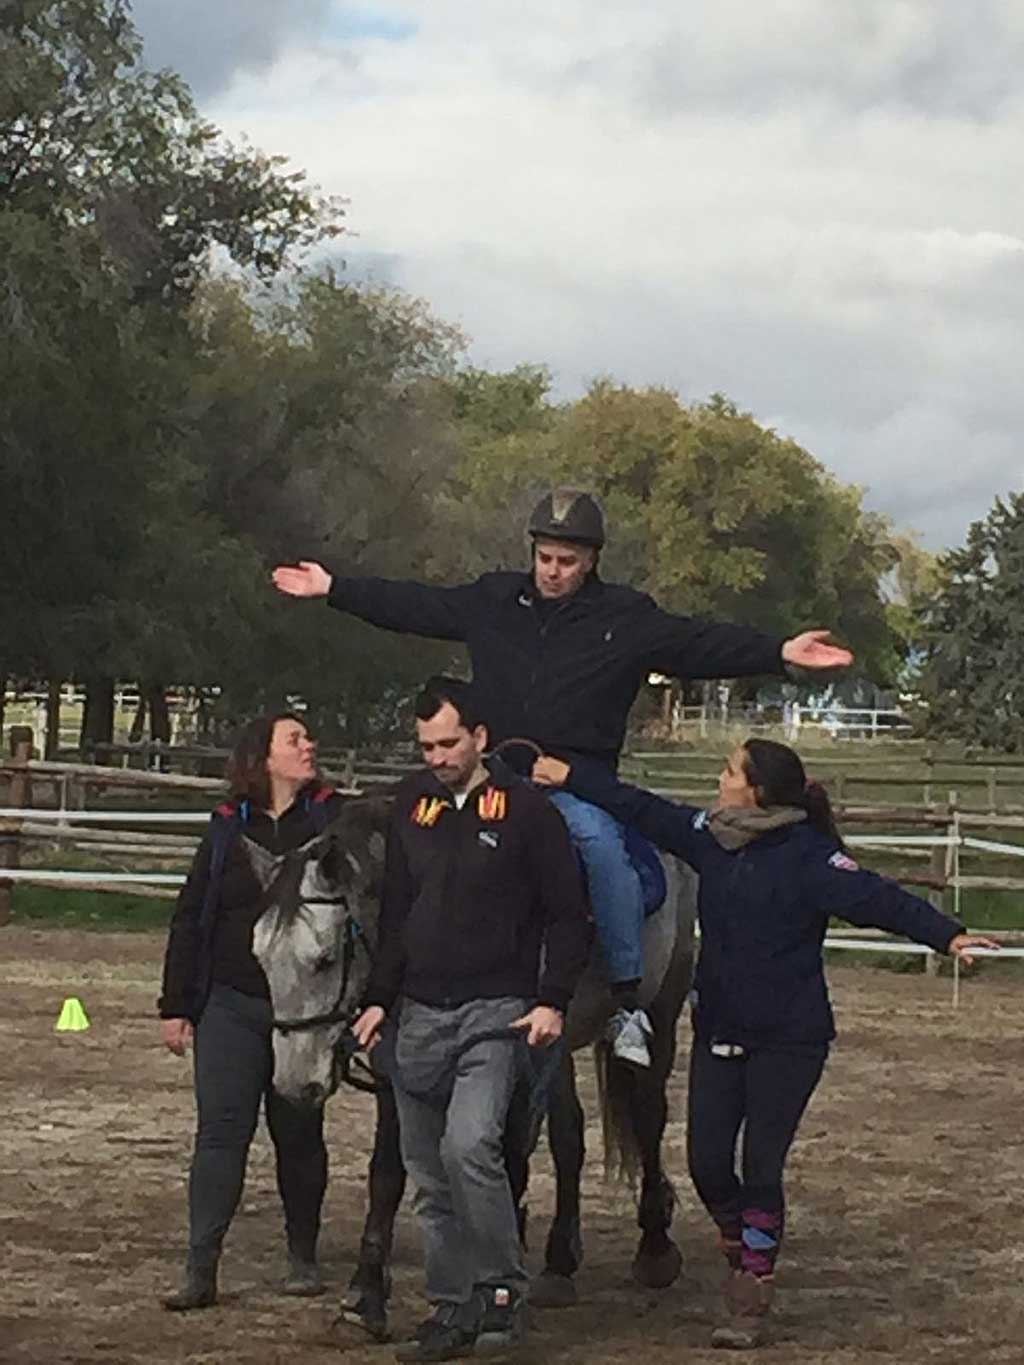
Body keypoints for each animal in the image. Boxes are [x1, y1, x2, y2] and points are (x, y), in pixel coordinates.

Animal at [247, 797, 699, 1337]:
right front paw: (365, 1296)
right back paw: (559, 1264)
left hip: (661, 1009)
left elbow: (504, 1156)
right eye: (261, 960)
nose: (294, 1084)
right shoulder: (398, 1073)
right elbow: (387, 1175)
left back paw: (655, 1249)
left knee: (648, 1119)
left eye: (324, 957)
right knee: (569, 1139)